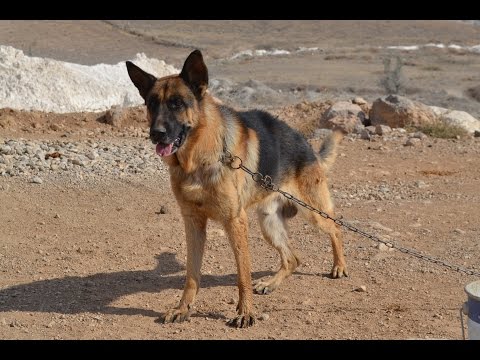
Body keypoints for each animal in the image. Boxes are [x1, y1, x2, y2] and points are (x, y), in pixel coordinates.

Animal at [125, 50, 346, 330]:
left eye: (177, 103)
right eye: (152, 104)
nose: (156, 133)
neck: (199, 157)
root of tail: (307, 145)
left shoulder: (235, 221)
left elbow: (243, 274)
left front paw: (245, 313)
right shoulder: (193, 223)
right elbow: (191, 274)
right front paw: (182, 308)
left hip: (313, 212)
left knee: (336, 227)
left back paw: (339, 266)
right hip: (269, 223)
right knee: (292, 258)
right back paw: (270, 283)